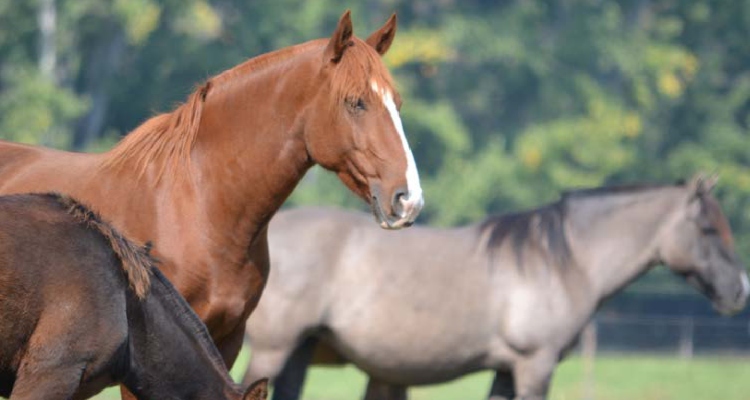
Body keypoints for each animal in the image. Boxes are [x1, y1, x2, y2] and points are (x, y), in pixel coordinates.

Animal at [248, 177, 750, 400]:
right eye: (708, 229)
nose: (739, 291)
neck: (561, 262)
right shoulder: (533, 367)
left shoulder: (507, 370)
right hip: (273, 350)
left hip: (298, 352)